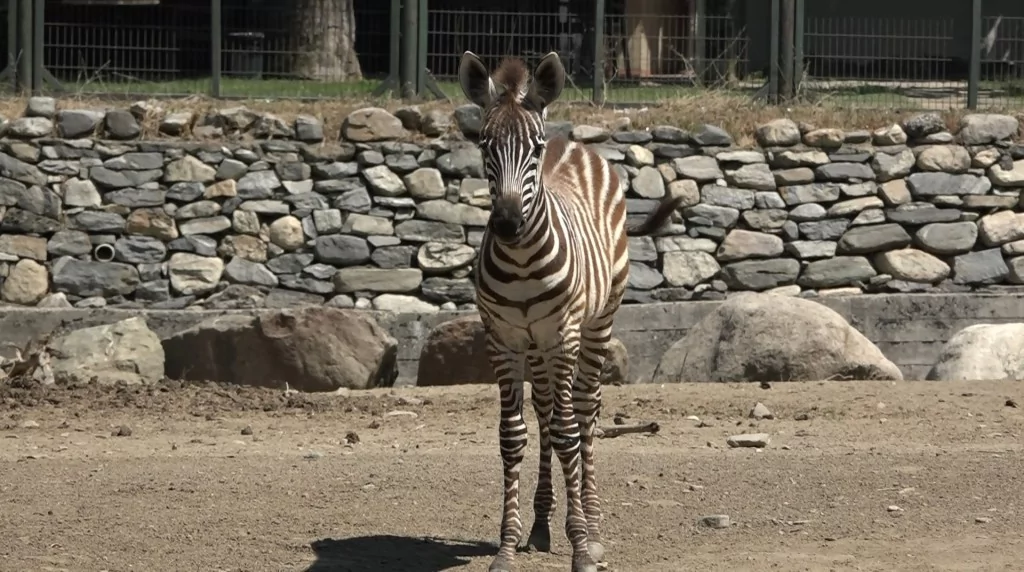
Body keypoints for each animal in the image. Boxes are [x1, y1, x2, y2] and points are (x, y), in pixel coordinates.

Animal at [458, 51, 684, 572]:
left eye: (534, 148)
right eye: (484, 145)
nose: (507, 223)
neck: (521, 260)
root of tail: (575, 143)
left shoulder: (563, 334)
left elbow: (567, 432)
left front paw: (582, 545)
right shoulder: (503, 338)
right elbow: (514, 435)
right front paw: (507, 546)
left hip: (596, 324)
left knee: (583, 411)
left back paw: (593, 527)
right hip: (537, 344)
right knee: (546, 412)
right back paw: (542, 525)